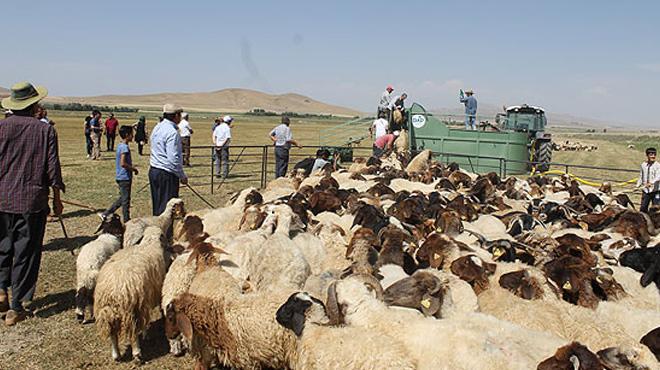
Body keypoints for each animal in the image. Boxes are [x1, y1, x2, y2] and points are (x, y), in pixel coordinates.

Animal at [94, 225, 168, 362]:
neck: (149, 243)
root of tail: (112, 292)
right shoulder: (143, 302)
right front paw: (145, 334)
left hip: (107, 312)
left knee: (112, 334)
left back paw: (116, 355)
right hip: (130, 310)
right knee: (133, 332)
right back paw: (137, 353)